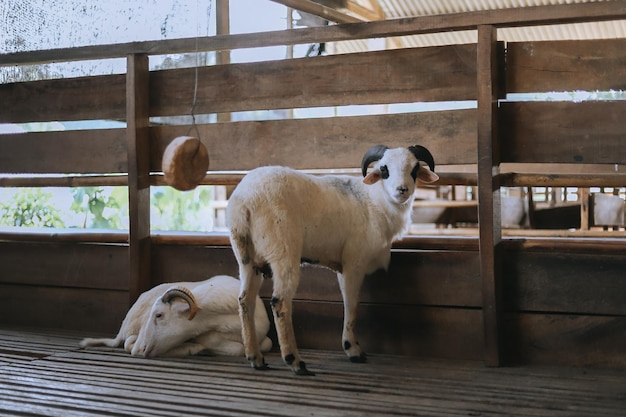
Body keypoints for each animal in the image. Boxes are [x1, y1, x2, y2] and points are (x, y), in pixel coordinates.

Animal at [80, 274, 270, 356]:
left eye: (159, 315)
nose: (141, 349)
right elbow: (237, 348)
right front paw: (198, 347)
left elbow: (267, 344)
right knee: (128, 343)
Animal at [227, 144, 436, 374]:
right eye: (384, 168)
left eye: (415, 168)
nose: (402, 190)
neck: (373, 200)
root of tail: (245, 200)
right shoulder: (354, 262)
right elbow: (351, 304)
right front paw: (353, 350)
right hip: (283, 250)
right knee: (280, 302)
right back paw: (295, 361)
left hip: (246, 257)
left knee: (245, 300)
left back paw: (255, 358)